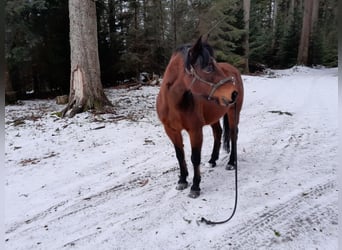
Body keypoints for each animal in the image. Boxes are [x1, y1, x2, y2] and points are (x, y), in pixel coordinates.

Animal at [157, 36, 243, 198]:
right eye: (208, 67)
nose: (233, 93)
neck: (173, 103)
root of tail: (233, 69)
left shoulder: (195, 130)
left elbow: (195, 158)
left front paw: (195, 187)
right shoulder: (171, 131)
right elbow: (180, 155)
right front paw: (182, 180)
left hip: (233, 113)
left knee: (233, 134)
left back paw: (231, 163)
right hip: (214, 116)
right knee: (218, 132)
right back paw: (212, 160)